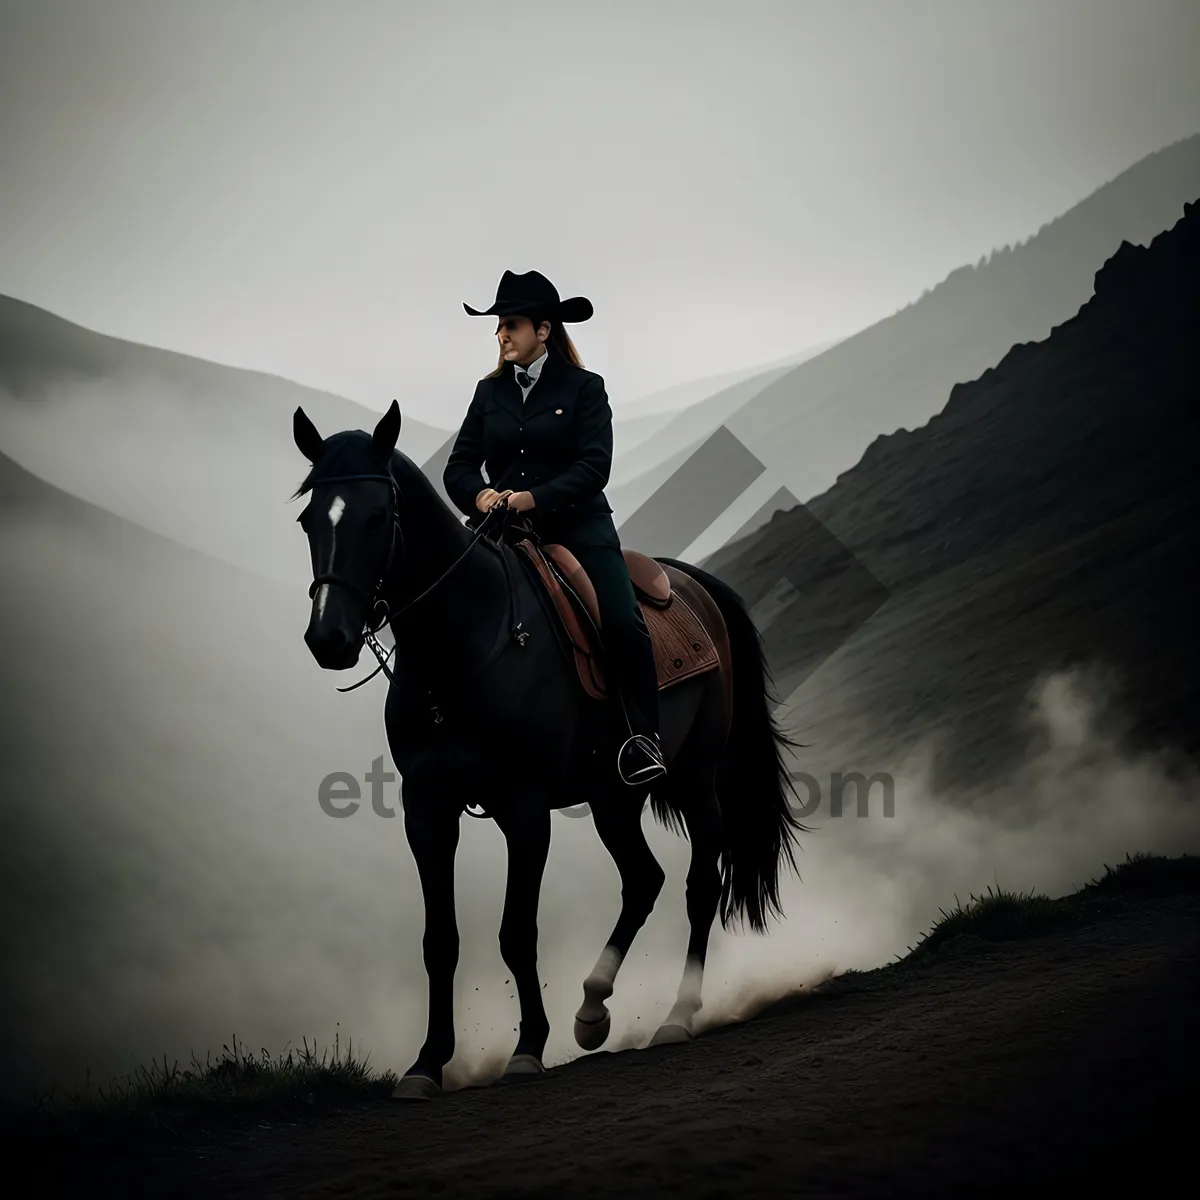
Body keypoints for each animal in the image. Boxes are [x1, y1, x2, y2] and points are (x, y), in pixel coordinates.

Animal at [291, 400, 806, 1099]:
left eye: (378, 516)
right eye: (308, 518)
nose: (330, 637)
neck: (463, 648)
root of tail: (694, 584)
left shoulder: (525, 808)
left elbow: (517, 931)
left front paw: (528, 1047)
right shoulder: (427, 810)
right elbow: (439, 939)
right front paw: (427, 1062)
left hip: (695, 779)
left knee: (700, 882)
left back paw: (676, 1015)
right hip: (613, 796)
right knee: (644, 879)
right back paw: (592, 1008)